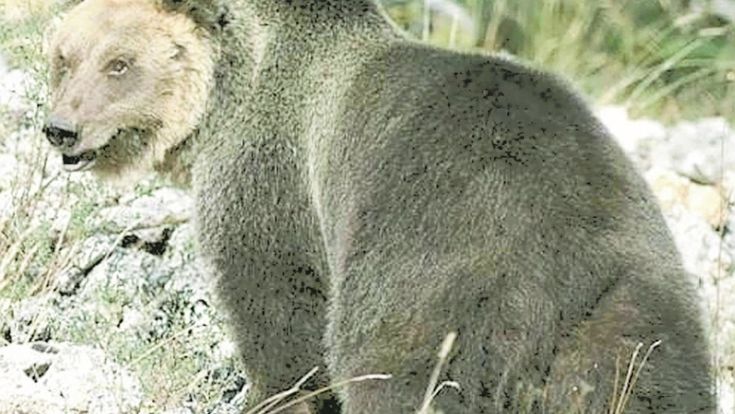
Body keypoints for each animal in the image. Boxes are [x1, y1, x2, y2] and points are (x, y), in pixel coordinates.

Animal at [44, 0, 714, 412]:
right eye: (64, 57)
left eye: (119, 63)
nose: (60, 130)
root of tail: (554, 272)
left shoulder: (271, 181)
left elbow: (277, 313)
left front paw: (269, 394)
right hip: (634, 320)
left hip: (427, 284)